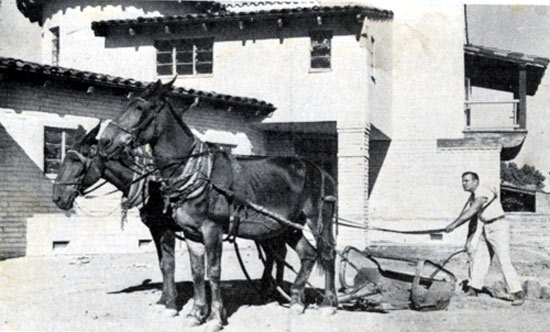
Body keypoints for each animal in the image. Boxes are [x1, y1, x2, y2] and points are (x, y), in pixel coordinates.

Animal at [51, 121, 288, 316]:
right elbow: (163, 264)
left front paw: (171, 303)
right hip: (268, 229)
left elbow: (169, 264)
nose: (57, 197)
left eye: (75, 160)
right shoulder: (156, 229)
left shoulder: (166, 229)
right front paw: (164, 300)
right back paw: (270, 290)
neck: (151, 185)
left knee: (278, 253)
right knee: (277, 253)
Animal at [99, 80, 340, 332]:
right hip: (289, 225)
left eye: (139, 108)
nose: (105, 141)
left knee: (327, 253)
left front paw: (215, 317)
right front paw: (196, 314)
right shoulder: (192, 233)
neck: (199, 174)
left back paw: (328, 304)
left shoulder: (212, 229)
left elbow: (213, 272)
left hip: (318, 218)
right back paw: (296, 301)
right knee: (308, 255)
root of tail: (321, 171)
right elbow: (197, 272)